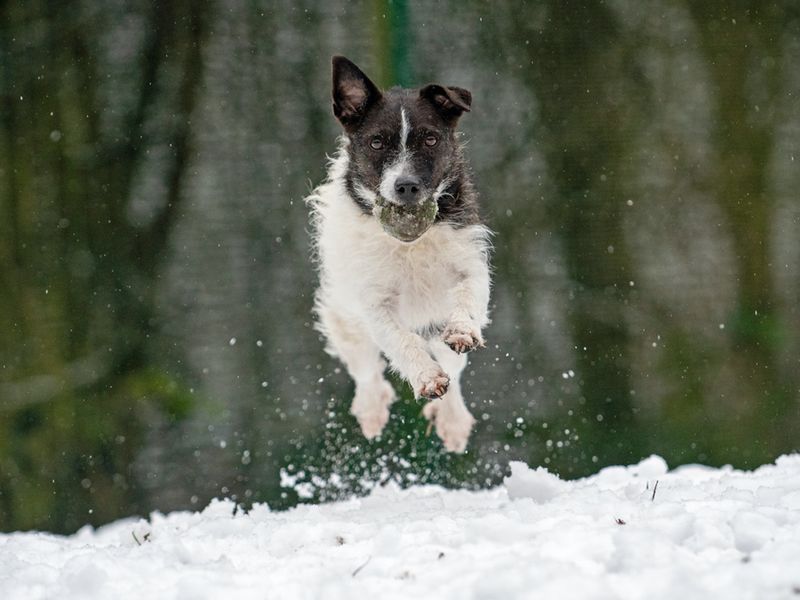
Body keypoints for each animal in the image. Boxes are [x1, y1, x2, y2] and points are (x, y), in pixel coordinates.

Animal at [308, 56, 490, 452]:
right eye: (377, 142)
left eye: (431, 138)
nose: (406, 185)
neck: (410, 241)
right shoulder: (373, 303)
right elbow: (400, 340)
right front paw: (425, 376)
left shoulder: (470, 262)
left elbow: (468, 296)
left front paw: (462, 330)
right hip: (344, 317)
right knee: (364, 367)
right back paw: (371, 408)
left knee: (453, 365)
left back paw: (452, 420)